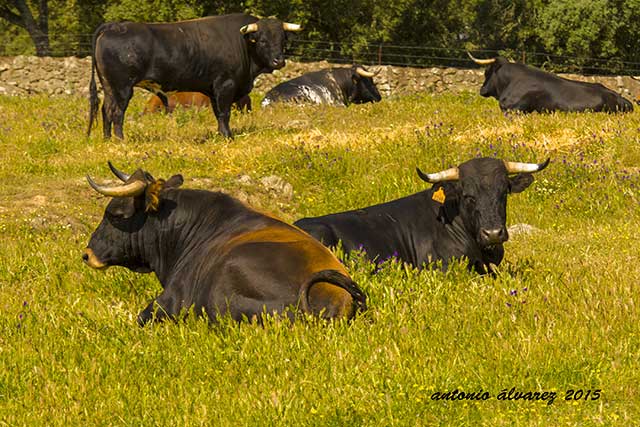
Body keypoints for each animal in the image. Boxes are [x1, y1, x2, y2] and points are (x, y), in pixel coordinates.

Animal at [87, 13, 302, 139]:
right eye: (263, 40)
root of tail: (114, 26)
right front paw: (228, 136)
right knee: (116, 112)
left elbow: (218, 114)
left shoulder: (213, 89)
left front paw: (221, 135)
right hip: (122, 87)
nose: (279, 61)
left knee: (106, 110)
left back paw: (107, 140)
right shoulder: (225, 84)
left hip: (109, 86)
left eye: (282, 39)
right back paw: (120, 140)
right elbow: (225, 113)